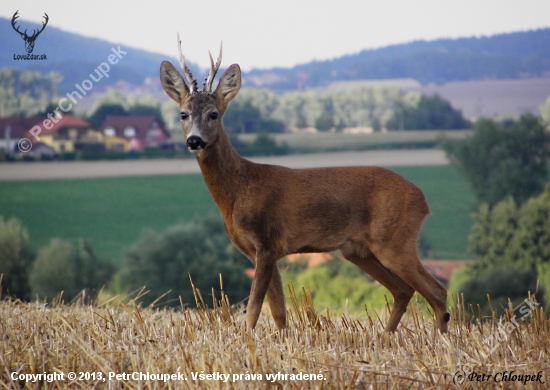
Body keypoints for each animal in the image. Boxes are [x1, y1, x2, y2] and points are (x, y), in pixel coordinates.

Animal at [161, 36, 452, 332]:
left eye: (213, 114)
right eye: (183, 114)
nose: (194, 141)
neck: (239, 189)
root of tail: (422, 200)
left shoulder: (267, 241)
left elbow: (254, 309)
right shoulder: (259, 251)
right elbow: (278, 312)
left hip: (394, 239)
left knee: (437, 291)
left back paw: (438, 340)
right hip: (359, 250)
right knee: (404, 290)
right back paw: (385, 337)